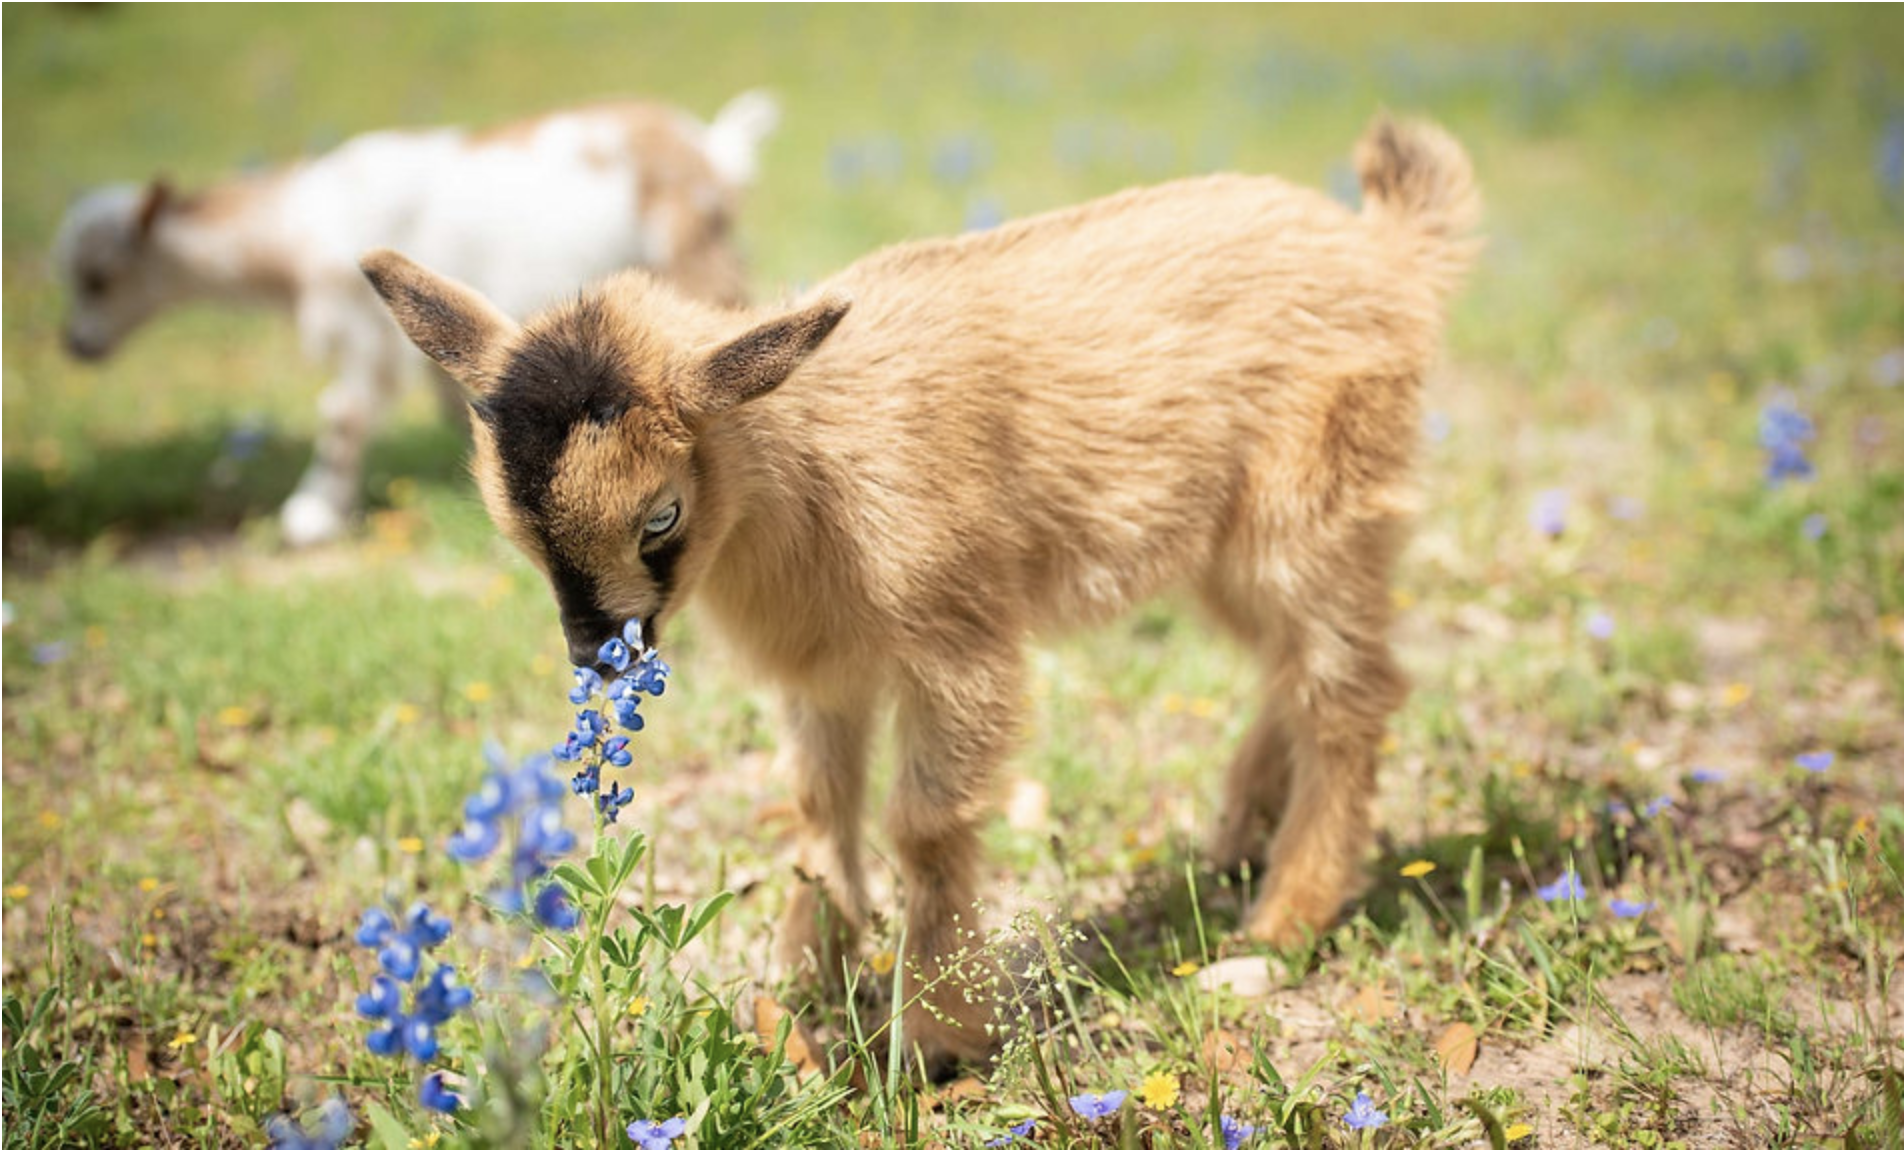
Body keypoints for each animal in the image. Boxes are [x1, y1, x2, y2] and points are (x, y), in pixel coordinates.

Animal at [52, 89, 780, 548]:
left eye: (100, 277)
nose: (76, 344)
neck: (300, 223)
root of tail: (710, 148)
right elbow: (450, 394)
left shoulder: (363, 329)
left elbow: (342, 415)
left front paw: (310, 516)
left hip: (694, 254)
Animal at [359, 112, 1485, 1073]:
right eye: (515, 532)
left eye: (660, 517)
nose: (597, 656)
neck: (804, 475)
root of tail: (1386, 251)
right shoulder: (822, 673)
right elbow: (818, 807)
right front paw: (803, 973)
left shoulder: (959, 640)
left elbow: (924, 823)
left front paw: (936, 1031)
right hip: (1232, 549)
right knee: (1292, 666)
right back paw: (1239, 834)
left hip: (1312, 512)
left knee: (1349, 687)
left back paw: (1284, 920)